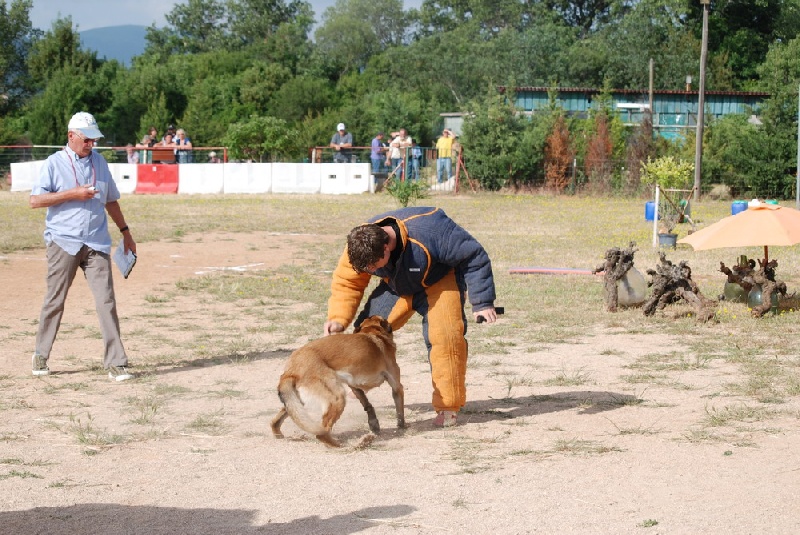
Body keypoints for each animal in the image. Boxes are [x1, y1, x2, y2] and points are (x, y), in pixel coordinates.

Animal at [270, 318, 406, 448]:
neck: (372, 332)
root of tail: (291, 370)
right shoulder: (397, 386)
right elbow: (400, 411)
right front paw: (402, 426)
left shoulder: (355, 386)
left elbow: (367, 405)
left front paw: (374, 424)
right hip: (337, 398)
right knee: (322, 434)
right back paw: (344, 446)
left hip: (295, 402)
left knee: (274, 422)